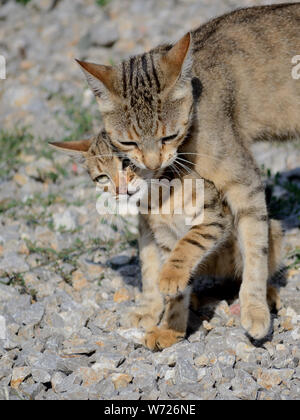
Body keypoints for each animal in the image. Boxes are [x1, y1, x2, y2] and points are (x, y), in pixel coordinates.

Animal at [49, 133, 284, 350]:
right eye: (102, 178)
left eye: (127, 164)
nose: (120, 191)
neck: (160, 196)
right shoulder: (163, 236)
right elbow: (177, 287)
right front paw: (171, 330)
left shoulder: (213, 217)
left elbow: (189, 243)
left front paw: (170, 278)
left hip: (269, 231)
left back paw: (267, 294)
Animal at [75, 1, 300, 340]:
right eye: (127, 142)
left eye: (168, 135)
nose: (152, 164)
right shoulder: (149, 222)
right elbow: (149, 262)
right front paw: (152, 309)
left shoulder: (244, 185)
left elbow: (255, 248)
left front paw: (254, 307)